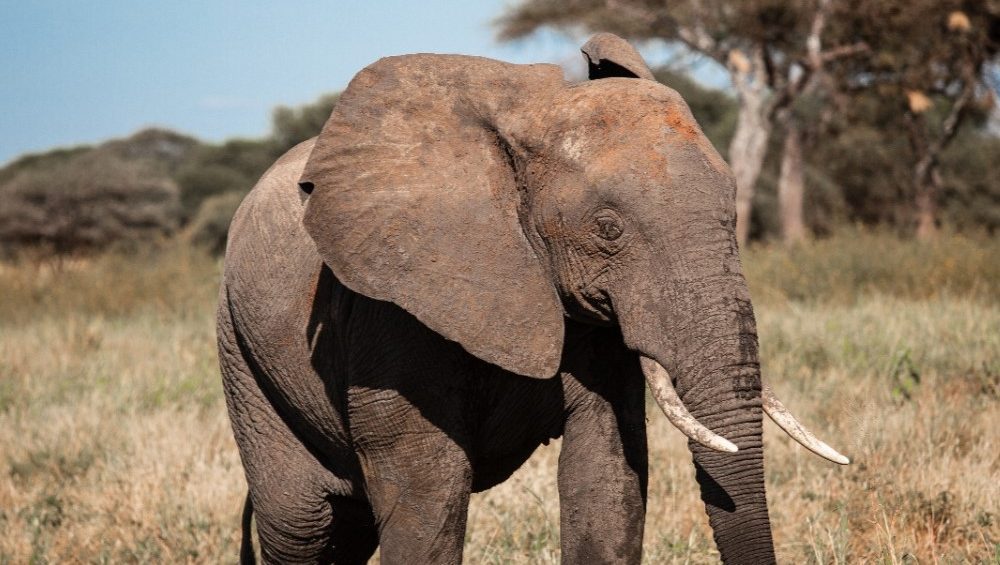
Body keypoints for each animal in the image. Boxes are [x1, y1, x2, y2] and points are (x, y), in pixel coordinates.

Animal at [217, 33, 848, 564]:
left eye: (733, 216)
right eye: (608, 230)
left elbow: (607, 474)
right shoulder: (389, 308)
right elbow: (428, 492)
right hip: (242, 351)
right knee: (301, 525)